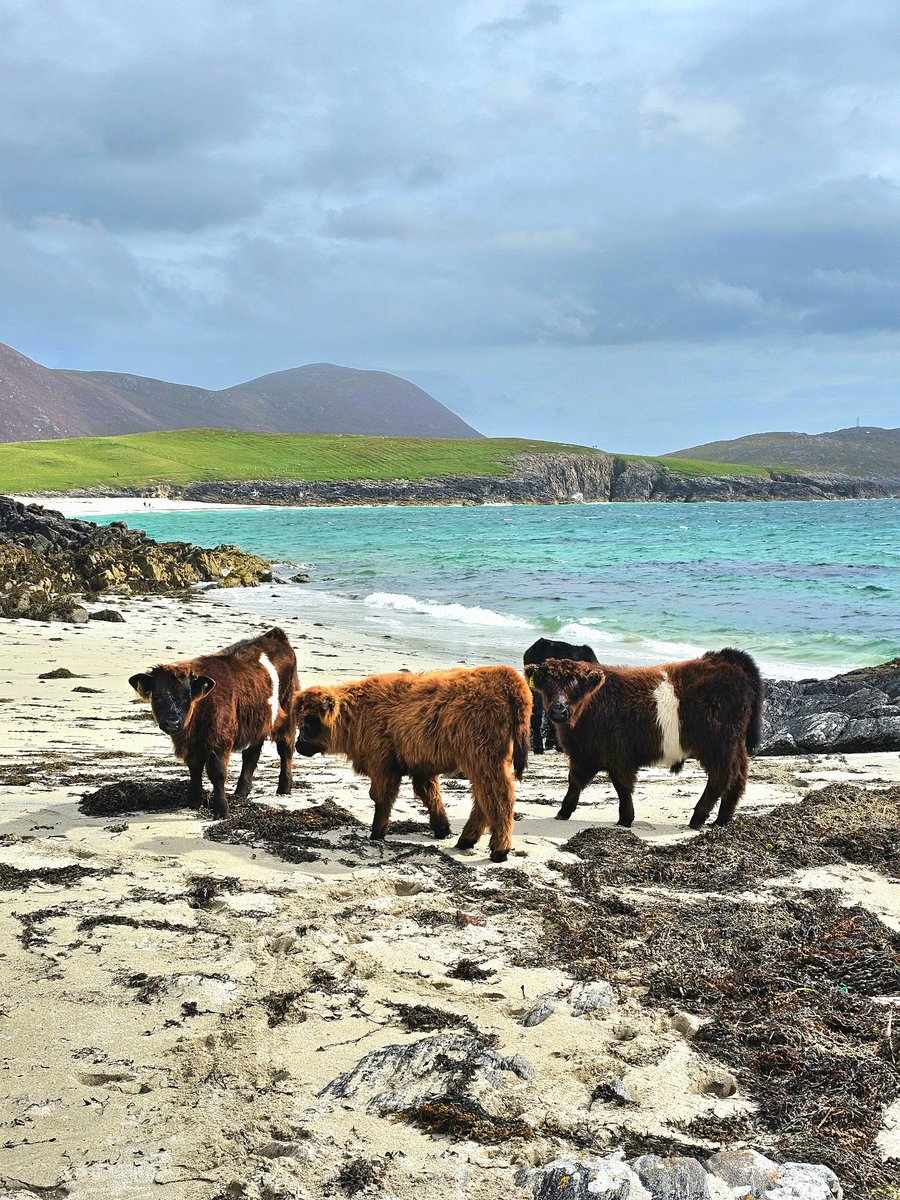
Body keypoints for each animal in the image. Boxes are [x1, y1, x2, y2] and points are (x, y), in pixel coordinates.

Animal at [130, 624, 300, 820]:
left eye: (187, 697)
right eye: (156, 697)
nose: (173, 723)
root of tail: (275, 634)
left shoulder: (220, 740)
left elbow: (217, 773)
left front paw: (221, 810)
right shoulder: (193, 745)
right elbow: (195, 769)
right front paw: (194, 801)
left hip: (288, 713)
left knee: (285, 749)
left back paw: (284, 788)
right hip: (257, 721)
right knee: (251, 753)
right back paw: (241, 792)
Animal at [292, 672, 532, 859]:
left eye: (311, 721)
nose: (298, 745)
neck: (359, 712)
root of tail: (508, 678)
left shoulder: (383, 767)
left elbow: (382, 799)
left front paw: (376, 834)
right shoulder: (422, 769)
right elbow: (430, 796)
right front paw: (442, 829)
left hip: (485, 761)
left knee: (499, 799)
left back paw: (499, 850)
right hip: (485, 764)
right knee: (484, 800)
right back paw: (466, 840)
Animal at [525, 652, 763, 830]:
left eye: (576, 686)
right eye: (547, 685)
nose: (558, 710)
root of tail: (726, 661)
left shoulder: (619, 758)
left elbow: (622, 787)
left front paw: (625, 819)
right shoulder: (584, 755)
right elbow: (575, 783)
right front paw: (562, 813)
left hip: (717, 746)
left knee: (721, 777)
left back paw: (697, 818)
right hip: (734, 746)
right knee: (738, 777)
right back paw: (721, 820)